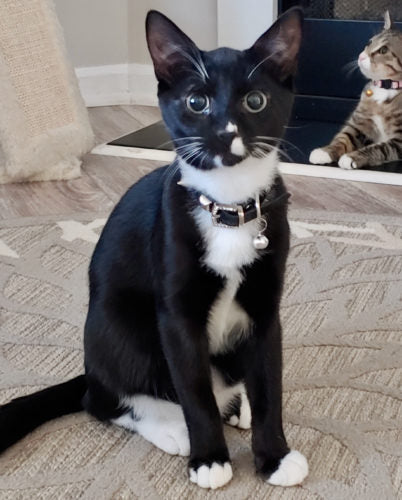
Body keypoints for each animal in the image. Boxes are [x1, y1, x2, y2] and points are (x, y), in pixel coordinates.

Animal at [0, 6, 308, 492]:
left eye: (256, 101)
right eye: (196, 102)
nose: (226, 134)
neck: (228, 205)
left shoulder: (265, 308)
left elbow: (269, 384)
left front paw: (274, 456)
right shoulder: (176, 314)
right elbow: (194, 391)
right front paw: (209, 458)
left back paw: (237, 404)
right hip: (120, 324)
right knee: (101, 399)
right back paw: (168, 427)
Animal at [310, 11, 402, 170]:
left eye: (383, 50)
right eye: (369, 42)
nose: (361, 56)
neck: (385, 88)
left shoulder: (400, 140)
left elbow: (381, 148)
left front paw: (352, 157)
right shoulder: (359, 121)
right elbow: (344, 137)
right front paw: (325, 151)